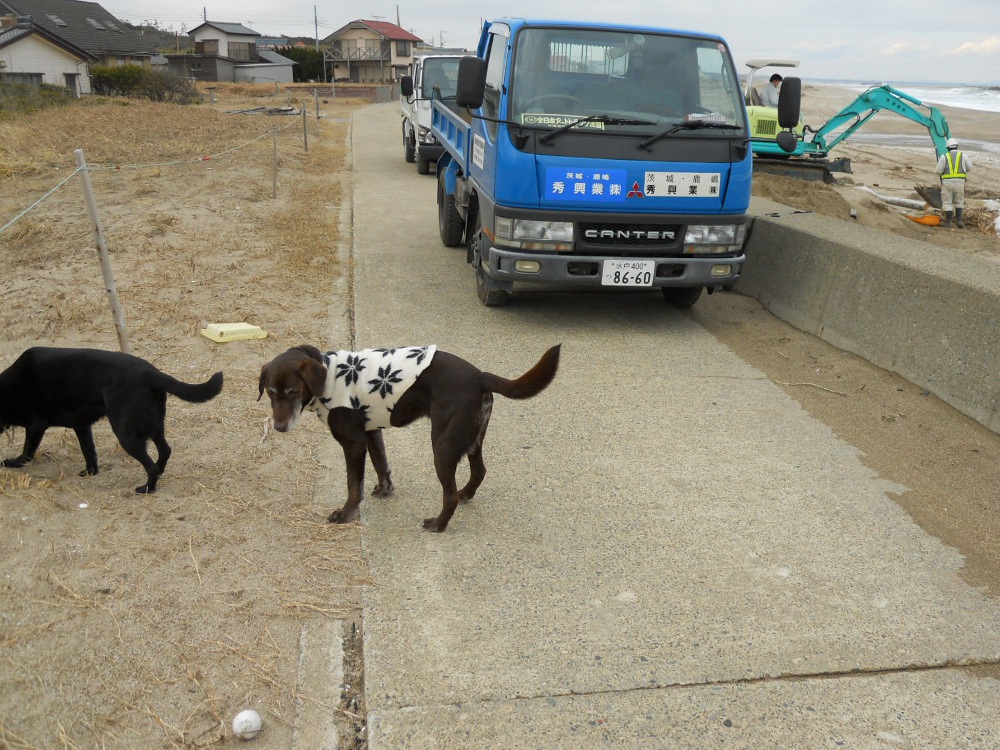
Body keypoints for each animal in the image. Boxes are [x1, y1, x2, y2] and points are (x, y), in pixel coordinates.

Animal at [0, 347, 223, 494]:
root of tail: (151, 373)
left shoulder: (35, 426)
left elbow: (27, 451)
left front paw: (11, 462)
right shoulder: (81, 426)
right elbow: (89, 451)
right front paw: (91, 472)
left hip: (125, 433)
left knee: (149, 465)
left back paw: (147, 488)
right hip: (154, 426)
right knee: (165, 450)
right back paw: (159, 472)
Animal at [258, 344, 560, 532]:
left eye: (293, 391)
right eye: (270, 392)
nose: (279, 427)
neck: (329, 375)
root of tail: (478, 376)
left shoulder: (353, 442)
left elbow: (353, 486)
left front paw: (345, 515)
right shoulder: (371, 431)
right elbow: (382, 465)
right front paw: (385, 489)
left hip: (442, 447)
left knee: (449, 496)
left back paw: (438, 525)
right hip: (472, 440)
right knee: (479, 472)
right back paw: (466, 494)